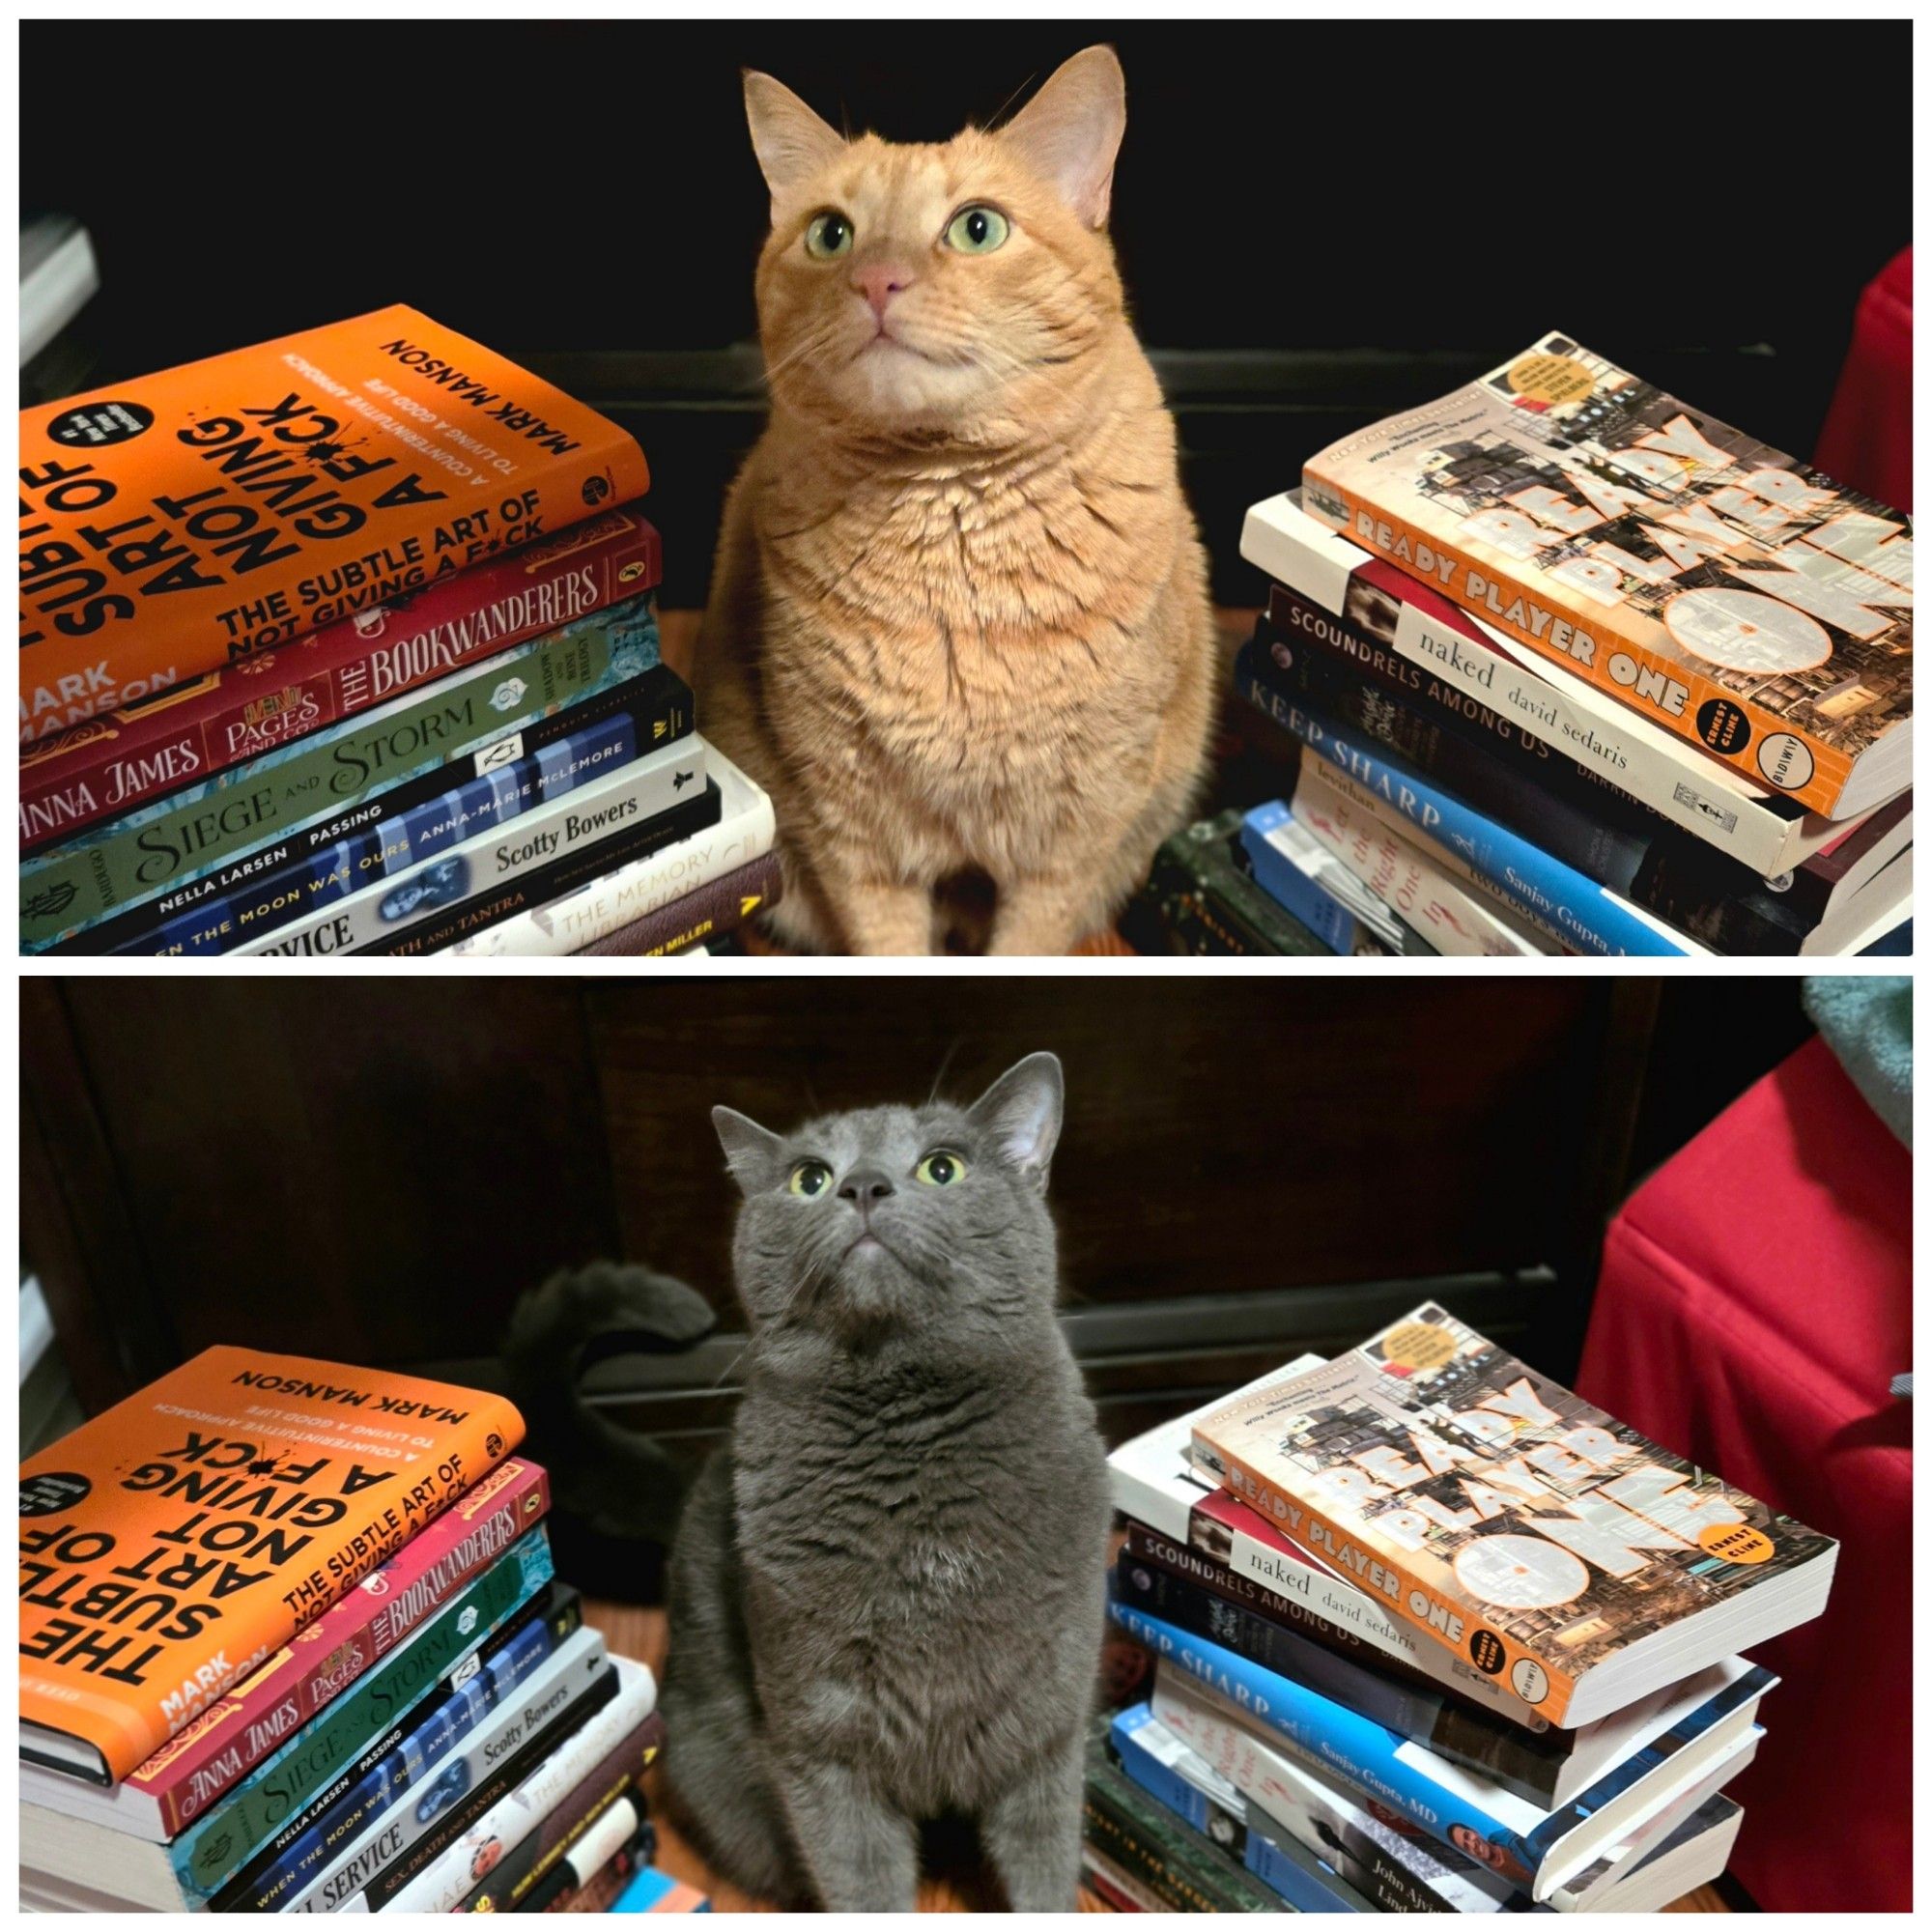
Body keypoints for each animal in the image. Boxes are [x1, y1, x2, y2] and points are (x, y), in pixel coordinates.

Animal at [665, 1059, 1121, 1917]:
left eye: (943, 1168)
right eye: (810, 1179)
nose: (863, 1186)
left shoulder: (1048, 1721)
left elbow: (1046, 1867)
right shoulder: (819, 1742)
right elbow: (862, 1883)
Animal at [696, 56, 1213, 962]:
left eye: (977, 229)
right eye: (830, 235)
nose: (876, 279)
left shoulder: (1073, 836)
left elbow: (1029, 942)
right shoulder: (851, 825)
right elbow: (888, 942)